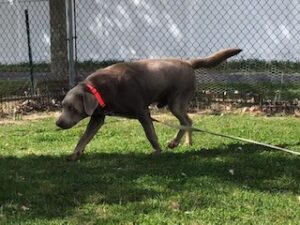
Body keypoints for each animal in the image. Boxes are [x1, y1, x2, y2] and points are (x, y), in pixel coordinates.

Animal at [55, 48, 241, 161]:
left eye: (72, 108)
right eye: (62, 106)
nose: (58, 123)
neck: (99, 90)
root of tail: (188, 63)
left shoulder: (142, 112)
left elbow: (150, 135)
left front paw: (157, 150)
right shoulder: (97, 118)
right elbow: (84, 137)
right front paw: (75, 154)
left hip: (176, 101)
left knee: (186, 121)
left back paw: (174, 143)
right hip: (178, 103)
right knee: (189, 121)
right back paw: (187, 143)